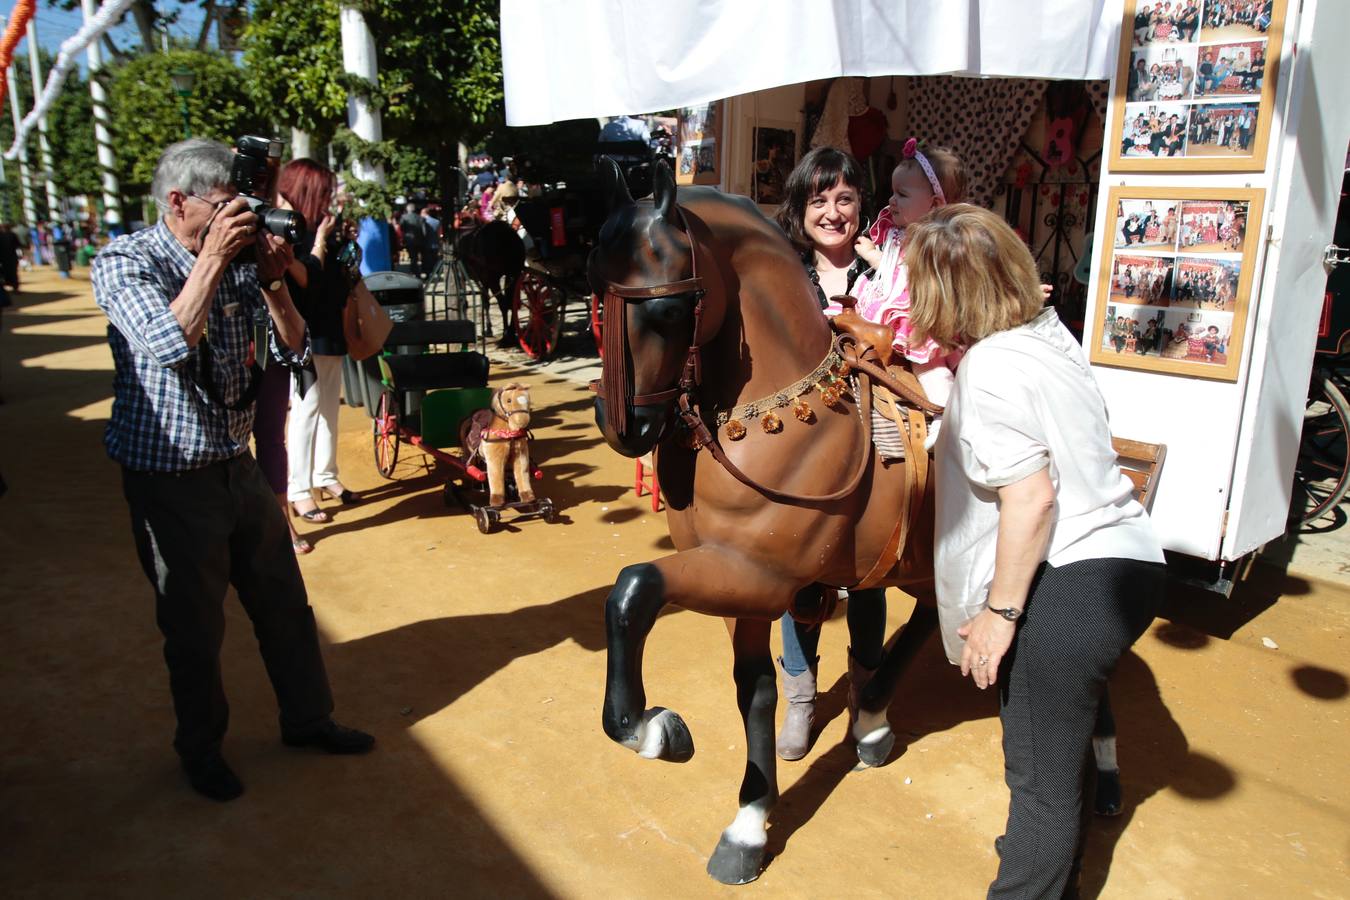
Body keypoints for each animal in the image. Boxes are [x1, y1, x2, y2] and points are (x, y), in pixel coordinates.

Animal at [585, 158, 945, 885]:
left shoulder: (758, 572)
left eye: (670, 309)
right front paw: (749, 826)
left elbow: (633, 586)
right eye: (598, 298)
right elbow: (755, 692)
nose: (621, 425)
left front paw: (652, 728)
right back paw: (869, 718)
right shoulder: (742, 588)